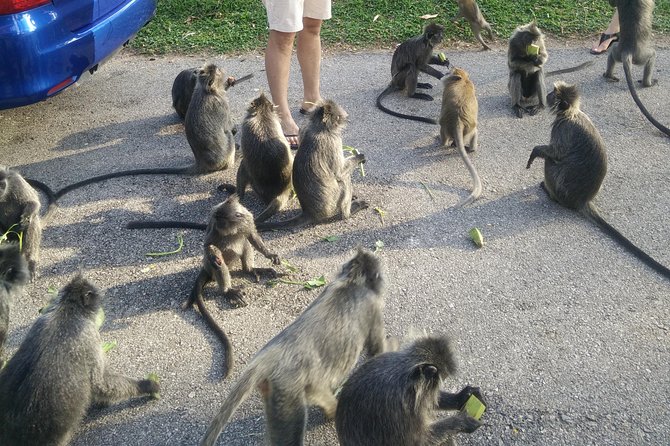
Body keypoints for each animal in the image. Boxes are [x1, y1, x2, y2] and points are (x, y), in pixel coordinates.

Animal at [255, 100, 368, 231]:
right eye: (339, 117)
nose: (346, 121)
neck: (318, 128)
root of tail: (309, 212)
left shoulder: (304, 129)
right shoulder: (333, 139)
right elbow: (339, 173)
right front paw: (360, 157)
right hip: (331, 204)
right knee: (343, 180)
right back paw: (349, 212)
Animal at [335, 334, 485, 446]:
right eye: (442, 377)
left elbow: (428, 401)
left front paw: (461, 397)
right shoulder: (398, 408)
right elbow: (418, 442)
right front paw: (463, 421)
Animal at [439, 67, 482, 207]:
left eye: (451, 70)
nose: (448, 68)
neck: (462, 80)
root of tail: (457, 118)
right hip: (468, 128)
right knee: (475, 130)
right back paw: (471, 148)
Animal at [527, 81, 670, 279]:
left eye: (553, 94)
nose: (547, 94)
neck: (571, 114)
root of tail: (582, 200)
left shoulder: (562, 129)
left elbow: (556, 153)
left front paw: (534, 153)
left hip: (561, 190)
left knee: (550, 161)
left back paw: (550, 194)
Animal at [603, 0, 670, 137]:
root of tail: (627, 50)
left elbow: (613, 4)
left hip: (618, 52)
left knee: (612, 53)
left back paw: (609, 75)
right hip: (641, 56)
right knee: (652, 56)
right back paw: (647, 83)